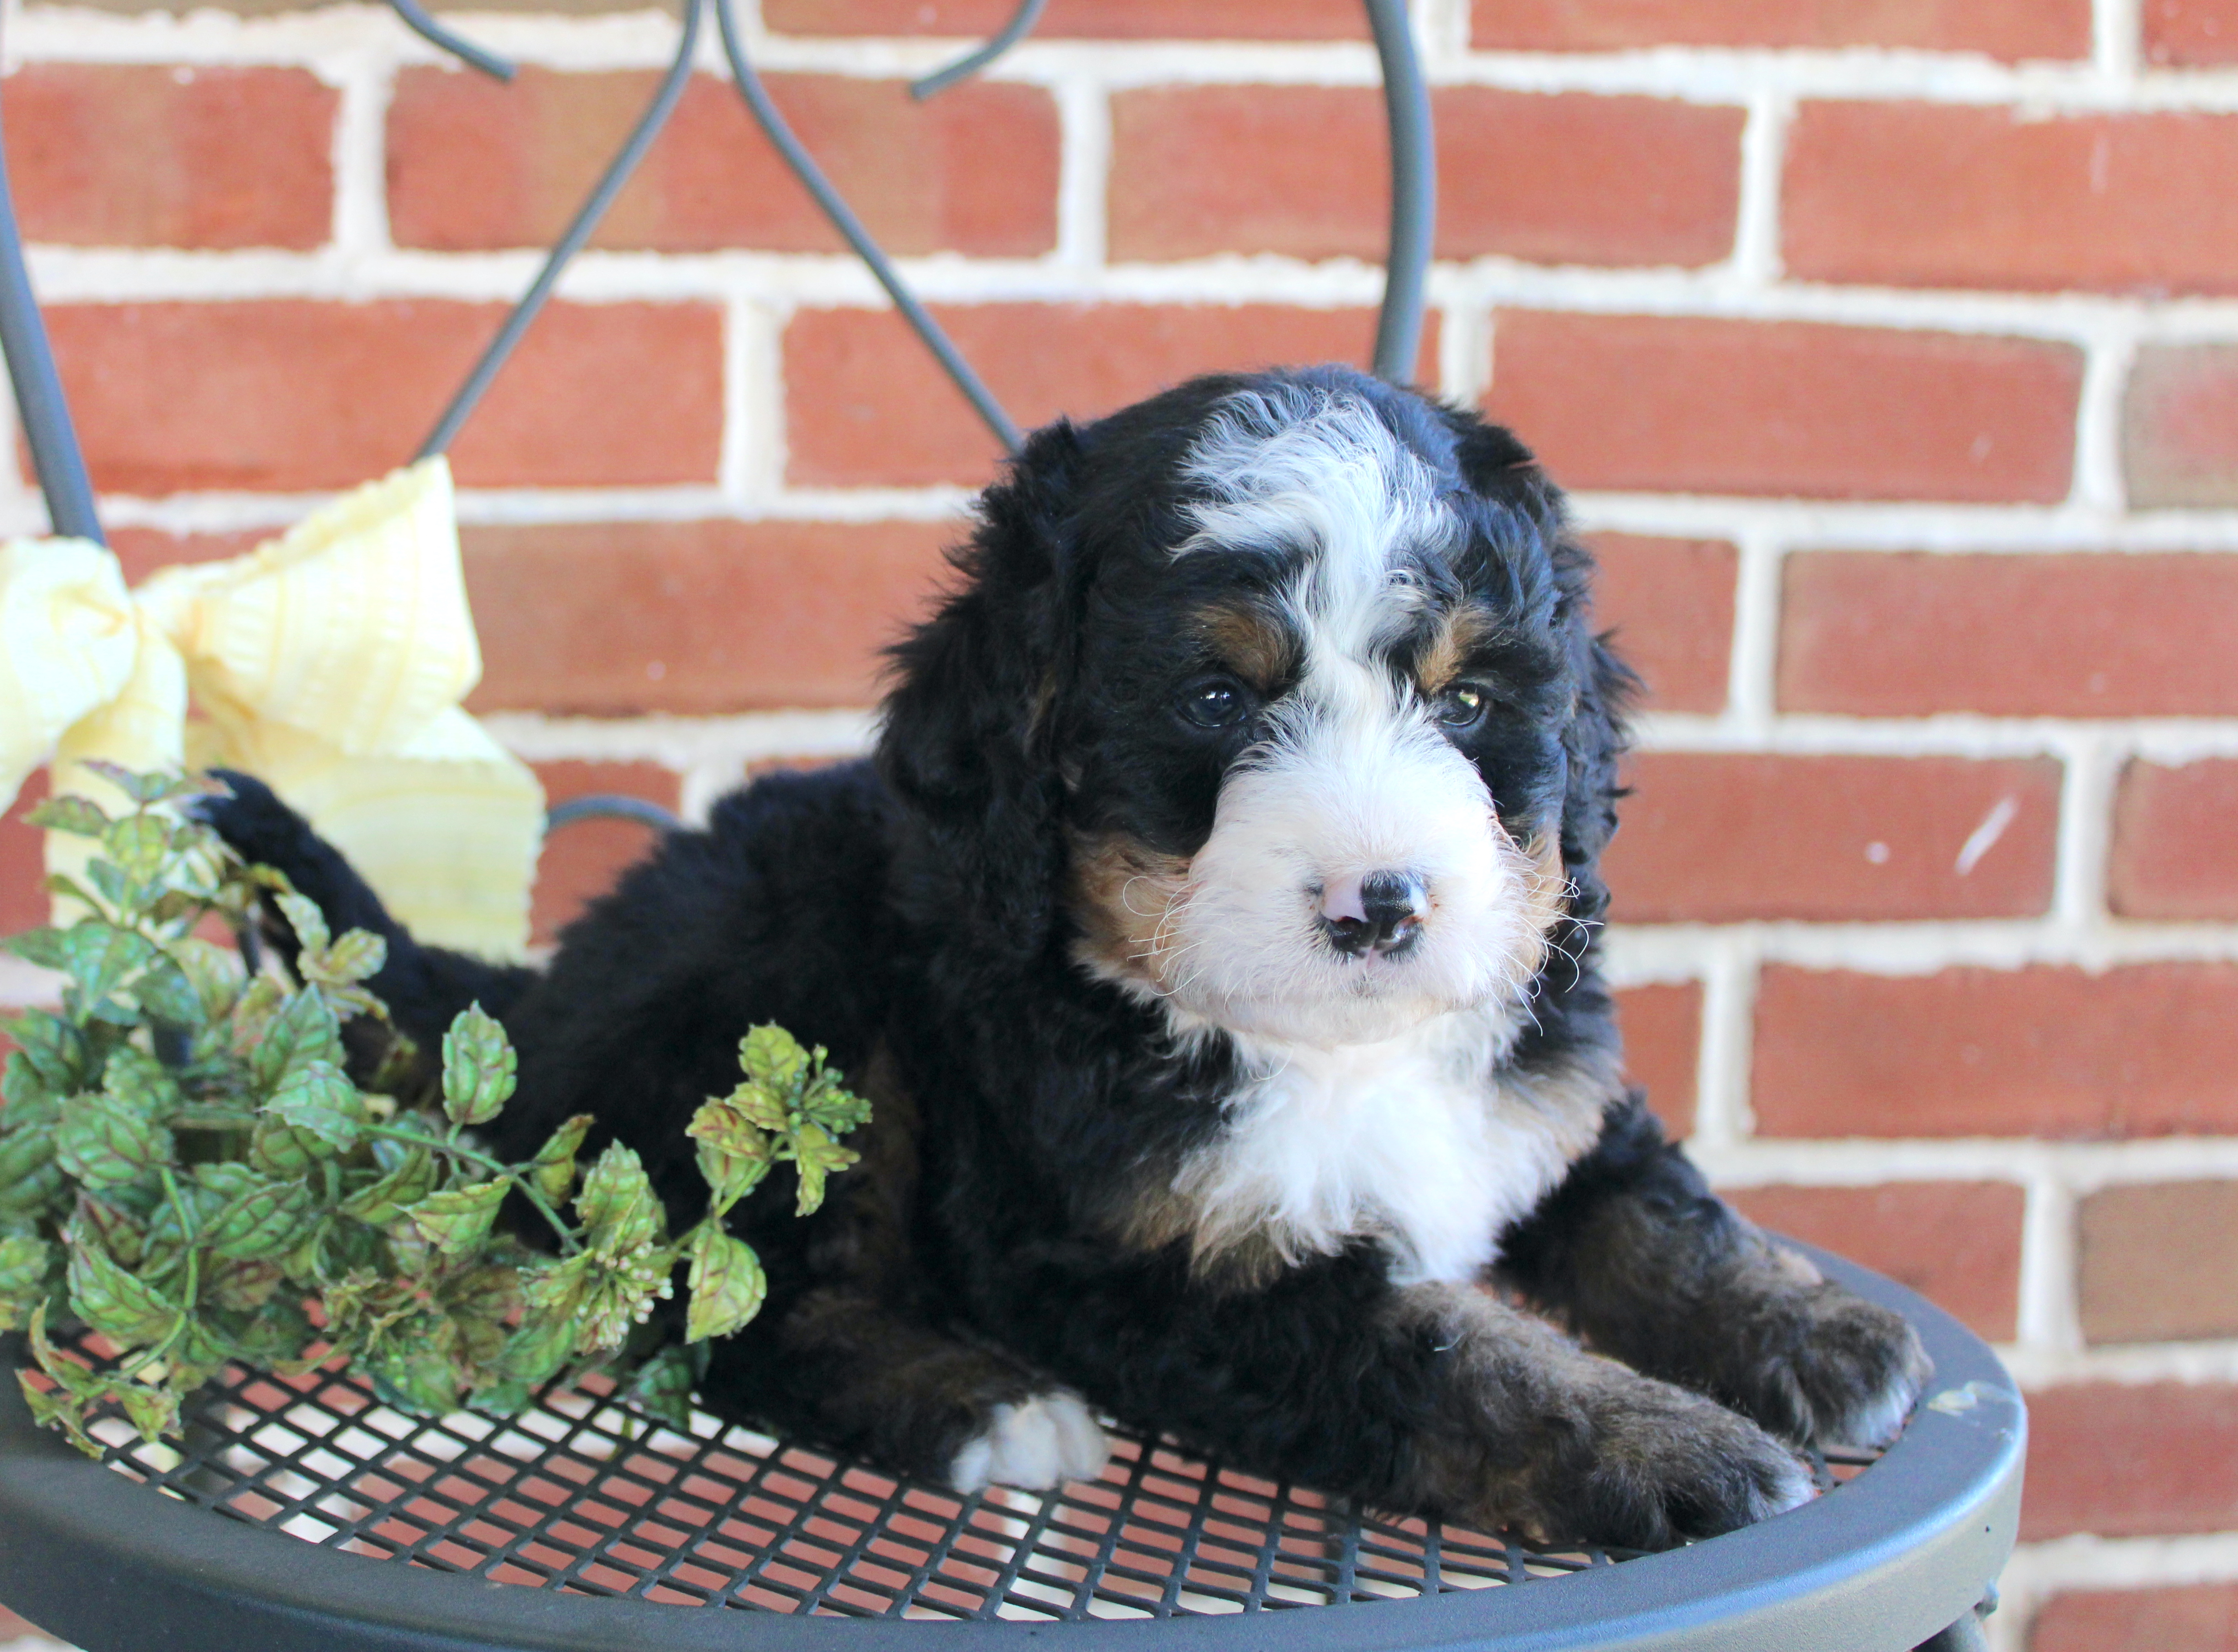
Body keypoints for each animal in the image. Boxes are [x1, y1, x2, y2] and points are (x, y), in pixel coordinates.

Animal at [206, 360, 1924, 1540]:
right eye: (1217, 698)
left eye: (1467, 698)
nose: (1380, 903)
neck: (1308, 1040)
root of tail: (545, 996)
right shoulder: (1151, 1263)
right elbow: (1445, 1350)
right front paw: (1663, 1446)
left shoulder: (1546, 1076)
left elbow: (1651, 1207)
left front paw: (1812, 1331)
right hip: (786, 1008)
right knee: (723, 1303)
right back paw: (981, 1405)